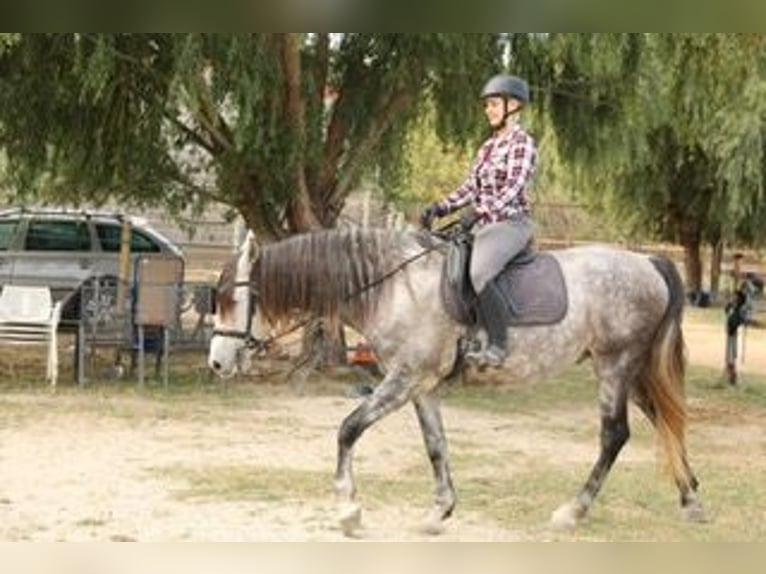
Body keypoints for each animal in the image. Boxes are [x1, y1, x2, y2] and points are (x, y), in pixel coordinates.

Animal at [207, 226, 707, 536]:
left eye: (234, 299)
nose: (215, 363)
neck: (391, 287)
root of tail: (648, 262)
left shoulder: (403, 380)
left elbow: (348, 429)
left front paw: (349, 509)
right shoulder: (422, 388)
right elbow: (436, 446)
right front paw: (438, 512)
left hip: (614, 365)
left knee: (614, 436)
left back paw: (572, 511)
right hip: (634, 372)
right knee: (666, 422)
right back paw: (691, 501)